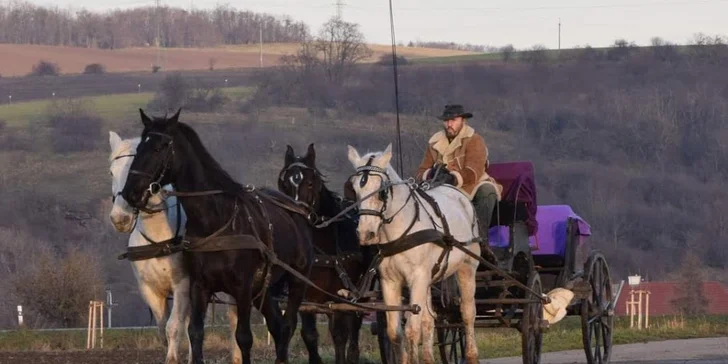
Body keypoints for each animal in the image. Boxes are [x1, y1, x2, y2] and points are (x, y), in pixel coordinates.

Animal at [106, 132, 242, 364]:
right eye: (111, 172)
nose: (120, 218)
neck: (158, 239)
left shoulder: (183, 285)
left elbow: (173, 327)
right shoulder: (148, 289)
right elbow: (165, 329)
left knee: (234, 319)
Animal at [121, 109, 316, 364]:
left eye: (160, 147)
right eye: (139, 147)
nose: (130, 193)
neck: (216, 220)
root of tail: (298, 211)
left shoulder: (242, 287)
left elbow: (243, 337)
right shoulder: (199, 286)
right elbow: (195, 333)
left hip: (297, 280)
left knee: (288, 325)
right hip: (263, 287)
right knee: (277, 326)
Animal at [278, 143, 376, 364]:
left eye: (310, 183)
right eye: (283, 185)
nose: (295, 215)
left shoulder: (340, 296)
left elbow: (340, 335)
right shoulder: (305, 294)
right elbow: (308, 334)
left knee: (355, 324)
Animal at [346, 144, 484, 362]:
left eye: (381, 191)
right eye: (355, 189)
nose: (366, 234)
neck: (399, 232)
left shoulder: (417, 277)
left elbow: (412, 330)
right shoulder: (390, 281)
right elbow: (395, 332)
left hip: (466, 269)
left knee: (467, 313)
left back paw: (471, 354)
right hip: (428, 279)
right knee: (429, 320)